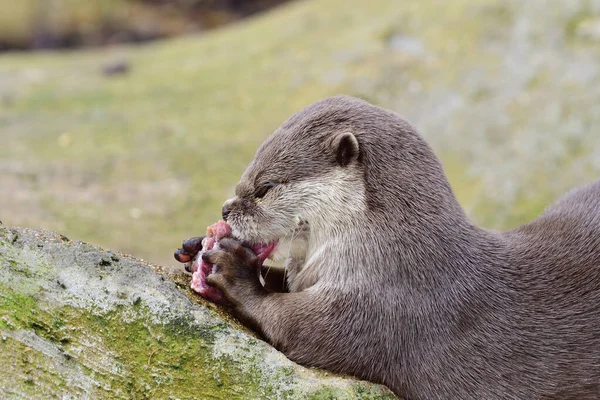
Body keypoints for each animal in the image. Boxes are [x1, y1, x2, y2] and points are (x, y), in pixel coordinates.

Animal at [173, 95, 600, 398]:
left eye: (265, 187)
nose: (226, 209)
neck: (396, 253)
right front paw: (195, 248)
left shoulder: (384, 304)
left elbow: (295, 325)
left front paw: (235, 270)